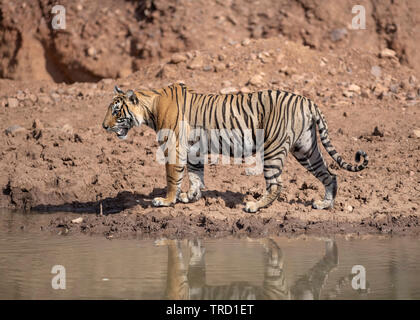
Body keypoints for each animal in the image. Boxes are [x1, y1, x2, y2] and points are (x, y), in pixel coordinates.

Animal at [102, 82, 368, 212]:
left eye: (116, 111)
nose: (103, 126)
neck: (151, 108)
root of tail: (308, 101)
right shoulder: (193, 150)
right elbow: (195, 176)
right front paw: (191, 196)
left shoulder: (173, 147)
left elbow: (172, 177)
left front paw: (166, 200)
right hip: (306, 149)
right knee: (330, 175)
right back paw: (325, 204)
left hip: (273, 149)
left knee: (276, 184)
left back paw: (254, 206)